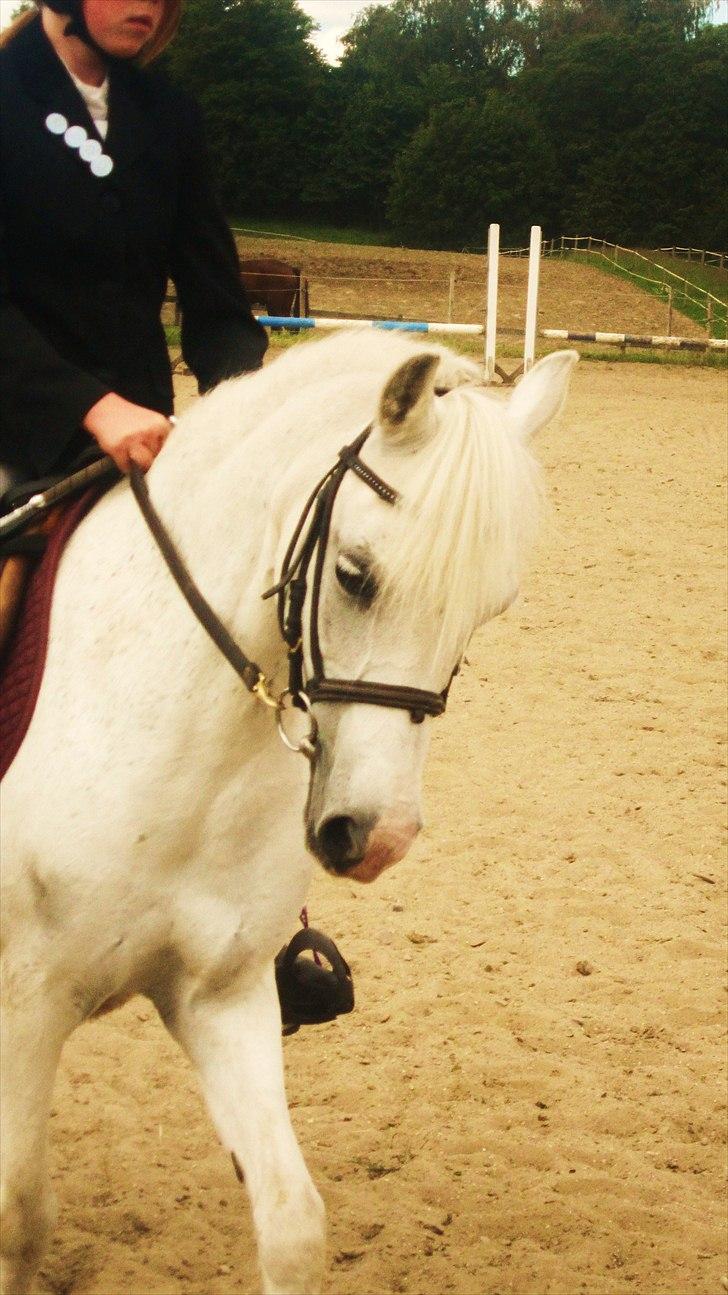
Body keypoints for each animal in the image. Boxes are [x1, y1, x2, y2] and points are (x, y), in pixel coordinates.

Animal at [0, 329, 577, 1295]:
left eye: (489, 608)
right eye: (354, 574)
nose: (378, 836)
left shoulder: (221, 995)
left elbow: (294, 1222)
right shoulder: (23, 1005)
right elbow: (19, 1217)